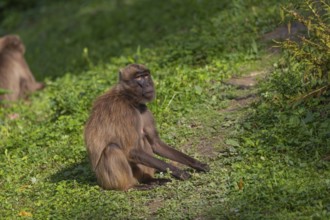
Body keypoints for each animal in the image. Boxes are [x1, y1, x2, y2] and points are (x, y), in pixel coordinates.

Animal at [84, 63, 209, 191]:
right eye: (138, 77)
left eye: (146, 75)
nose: (148, 84)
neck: (128, 98)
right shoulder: (126, 113)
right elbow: (131, 151)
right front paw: (178, 172)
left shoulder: (143, 109)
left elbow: (155, 144)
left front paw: (197, 164)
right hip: (109, 180)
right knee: (111, 149)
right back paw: (131, 186)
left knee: (143, 139)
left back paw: (150, 180)